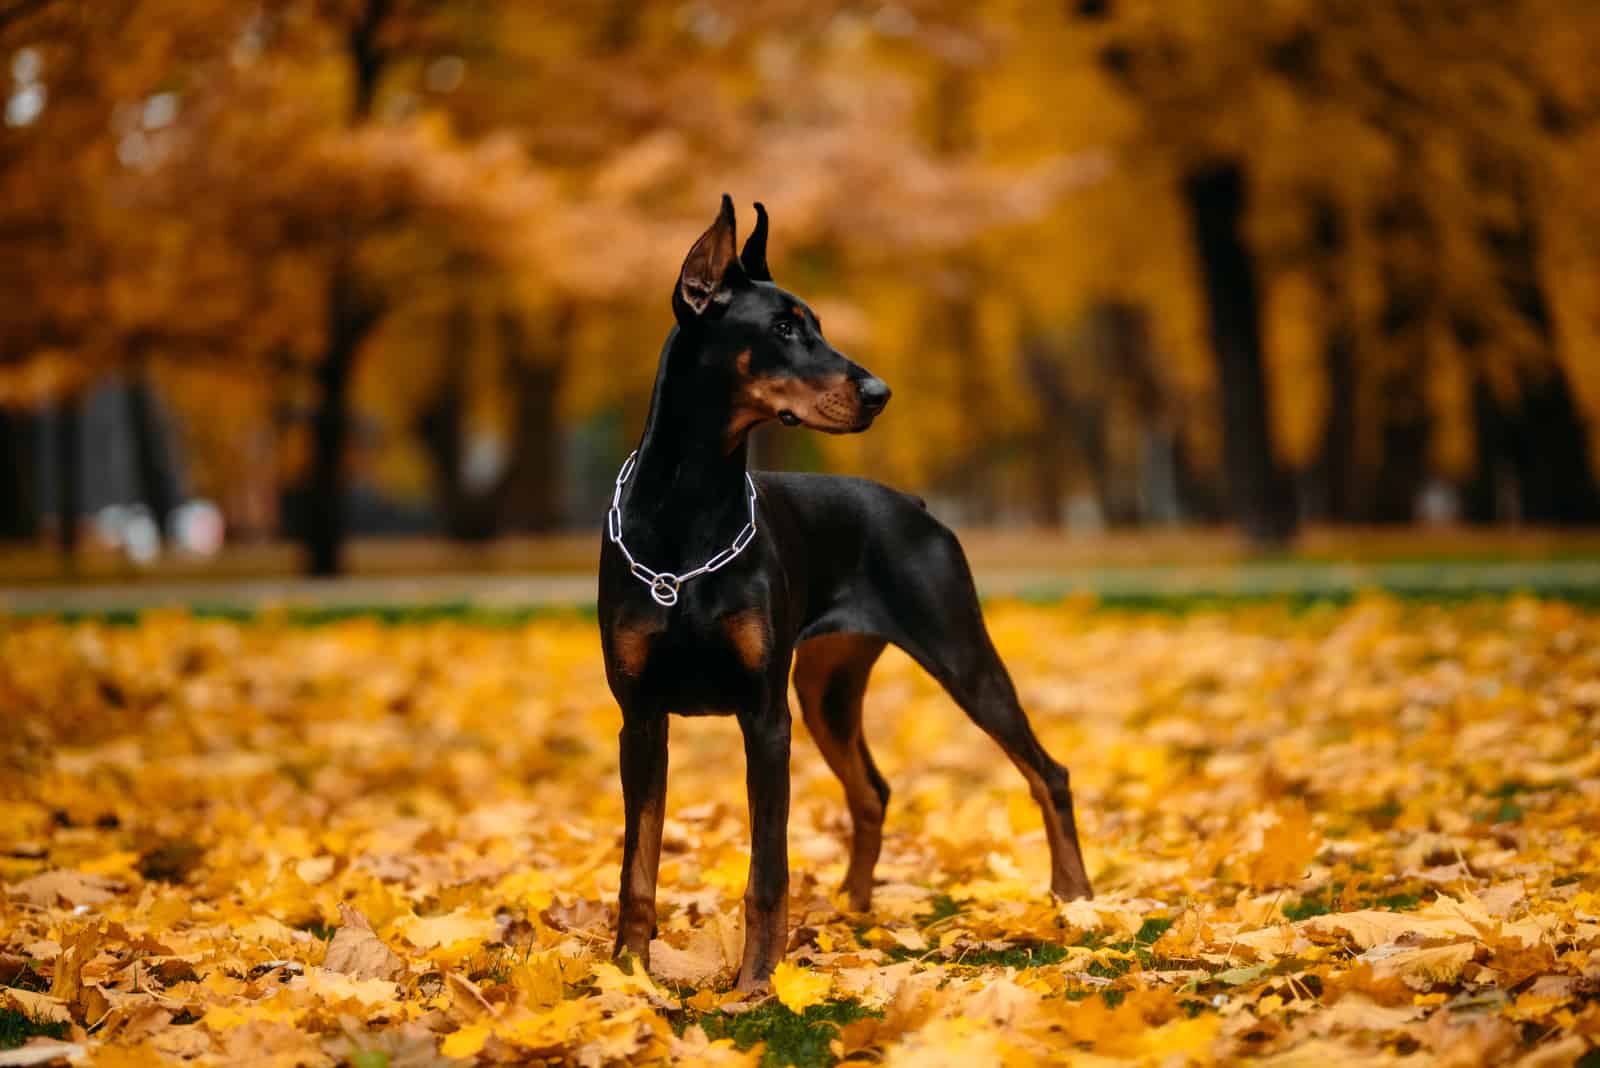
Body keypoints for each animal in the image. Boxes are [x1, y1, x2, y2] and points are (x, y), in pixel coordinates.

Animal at [595, 194, 1094, 991]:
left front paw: (755, 986)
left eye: (819, 323)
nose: (880, 393)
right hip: (825, 690)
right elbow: (636, 867)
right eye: (782, 327)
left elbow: (767, 872)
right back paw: (853, 910)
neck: (688, 512)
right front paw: (629, 978)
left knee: (1049, 772)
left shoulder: (764, 716)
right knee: (872, 791)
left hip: (961, 657)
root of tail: (916, 506)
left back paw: (1074, 898)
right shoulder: (640, 716)